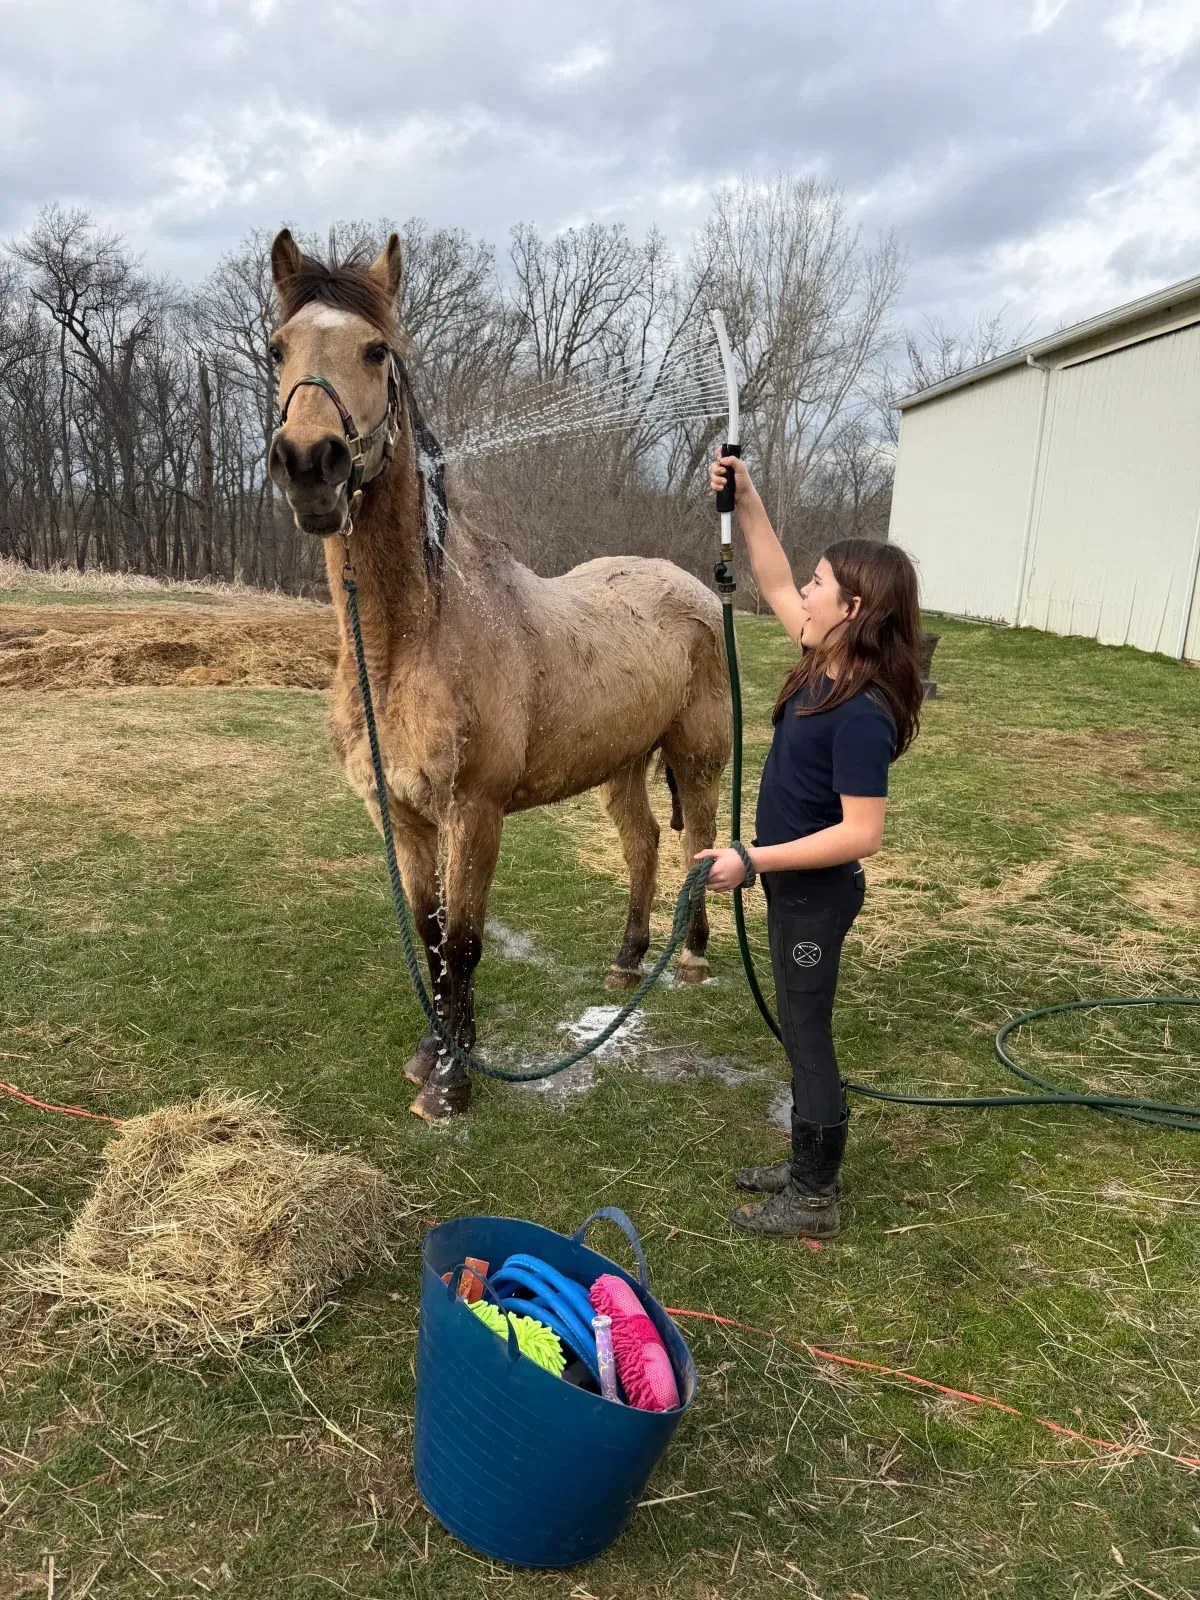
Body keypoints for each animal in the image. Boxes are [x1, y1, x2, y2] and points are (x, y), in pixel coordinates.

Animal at [266, 229, 731, 1119]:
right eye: (277, 348)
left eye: (377, 351)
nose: (311, 464)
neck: (410, 644)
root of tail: (692, 584)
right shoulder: (403, 817)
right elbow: (429, 936)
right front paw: (433, 1053)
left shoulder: (473, 814)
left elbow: (466, 940)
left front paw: (451, 1082)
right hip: (620, 764)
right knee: (644, 844)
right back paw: (628, 958)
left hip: (696, 756)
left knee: (698, 842)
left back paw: (689, 958)